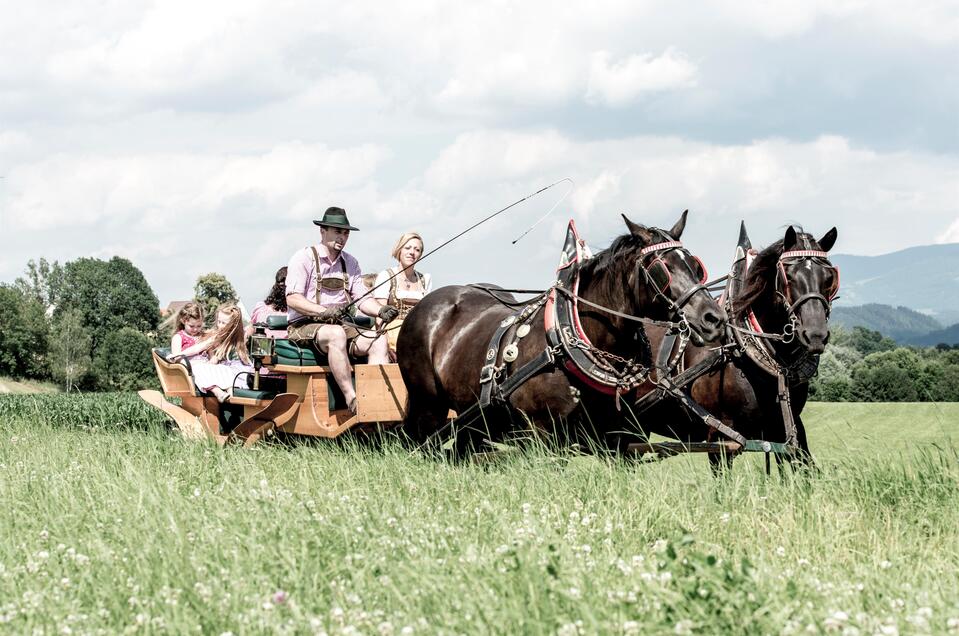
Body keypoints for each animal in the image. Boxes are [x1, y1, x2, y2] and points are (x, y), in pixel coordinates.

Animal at [396, 211, 728, 454]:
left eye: (695, 266)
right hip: (429, 407)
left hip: (476, 416)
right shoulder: (542, 434)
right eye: (662, 268)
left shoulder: (617, 435)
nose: (714, 318)